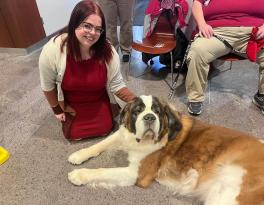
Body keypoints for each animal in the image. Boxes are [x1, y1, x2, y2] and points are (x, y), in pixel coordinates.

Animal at [67, 95, 264, 205]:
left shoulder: (136, 174)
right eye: (138, 111)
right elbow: (101, 143)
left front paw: (79, 174)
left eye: (157, 111)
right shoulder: (123, 134)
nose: (149, 117)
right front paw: (78, 155)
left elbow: (102, 170)